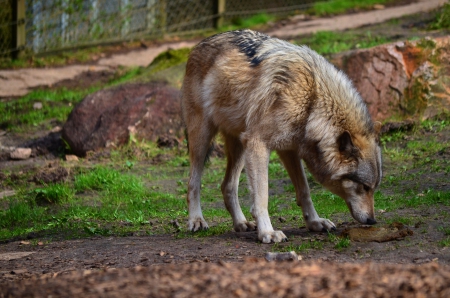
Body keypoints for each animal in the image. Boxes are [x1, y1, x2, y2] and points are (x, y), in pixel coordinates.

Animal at [181, 29, 382, 243]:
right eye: (364, 187)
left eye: (373, 187)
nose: (372, 220)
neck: (311, 100)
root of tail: (200, 43)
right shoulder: (258, 144)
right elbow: (262, 197)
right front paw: (268, 233)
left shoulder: (289, 149)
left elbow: (304, 190)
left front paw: (315, 222)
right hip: (203, 139)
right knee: (193, 183)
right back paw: (196, 221)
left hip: (240, 147)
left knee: (227, 186)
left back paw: (241, 223)